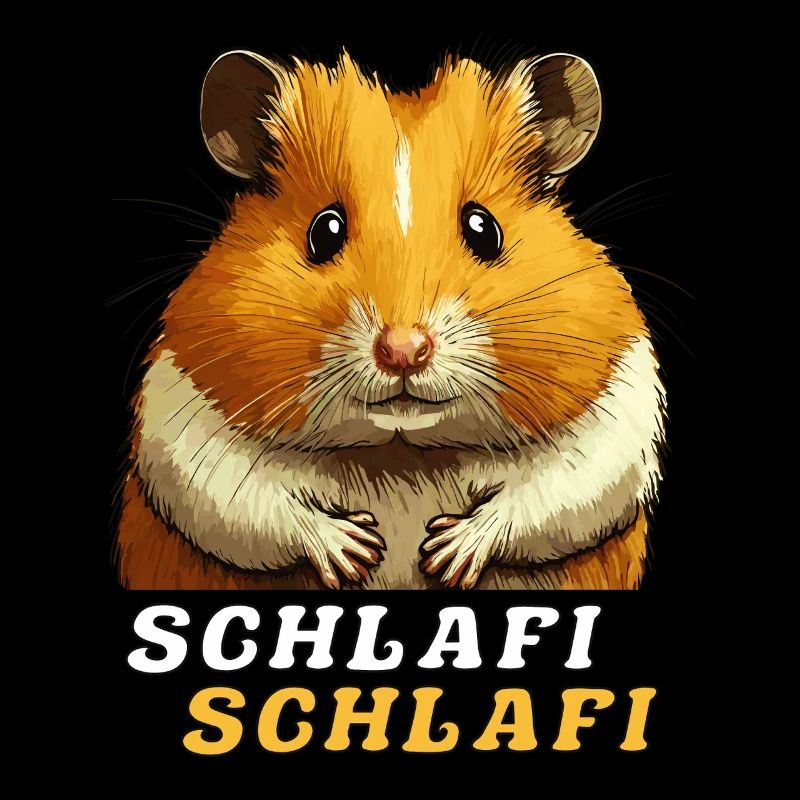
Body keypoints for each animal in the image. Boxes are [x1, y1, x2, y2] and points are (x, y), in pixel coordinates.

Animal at [115, 49, 666, 590]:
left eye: (484, 228)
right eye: (324, 230)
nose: (404, 351)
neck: (400, 452)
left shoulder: (615, 416)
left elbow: (552, 495)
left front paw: (445, 554)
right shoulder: (184, 422)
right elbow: (251, 507)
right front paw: (359, 551)